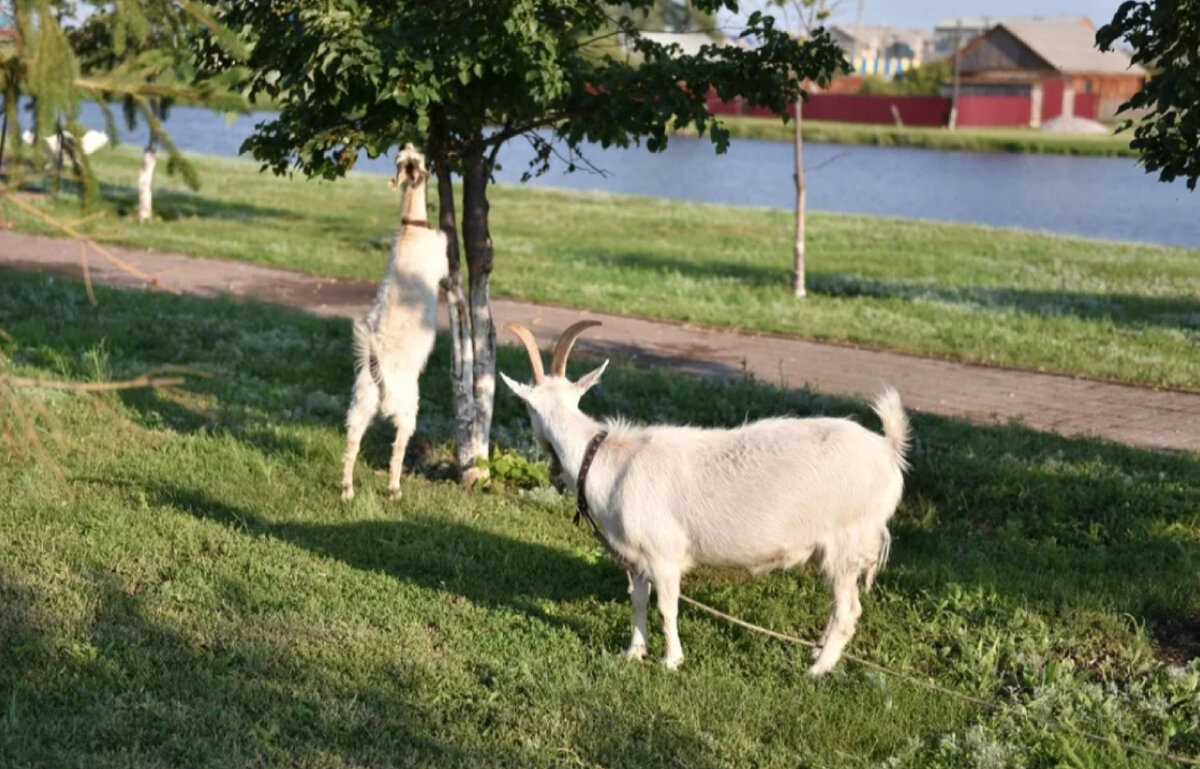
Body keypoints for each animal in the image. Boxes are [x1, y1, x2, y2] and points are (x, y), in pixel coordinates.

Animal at [343, 144, 451, 501]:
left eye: (405, 156)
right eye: (419, 161)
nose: (412, 144)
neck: (410, 227)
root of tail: (379, 371)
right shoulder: (440, 259)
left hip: (359, 404)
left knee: (351, 444)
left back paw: (347, 491)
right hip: (407, 407)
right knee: (398, 448)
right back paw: (393, 489)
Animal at [499, 321, 907, 676]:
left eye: (527, 408)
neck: (606, 459)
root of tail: (887, 449)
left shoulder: (664, 555)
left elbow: (667, 609)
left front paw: (671, 661)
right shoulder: (636, 556)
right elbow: (637, 601)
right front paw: (634, 652)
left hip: (848, 540)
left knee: (848, 610)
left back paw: (818, 669)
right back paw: (817, 652)